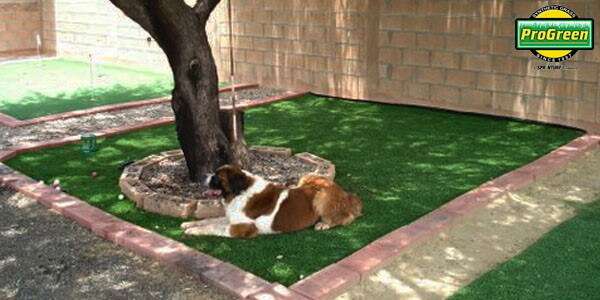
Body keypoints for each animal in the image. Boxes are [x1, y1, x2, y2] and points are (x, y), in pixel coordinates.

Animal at [180, 164, 364, 239]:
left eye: (217, 178)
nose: (203, 176)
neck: (240, 192)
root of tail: (345, 193)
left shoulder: (242, 227)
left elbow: (214, 227)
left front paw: (193, 231)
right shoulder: (231, 219)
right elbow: (211, 220)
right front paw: (190, 224)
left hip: (321, 196)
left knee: (345, 216)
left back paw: (323, 224)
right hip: (305, 177)